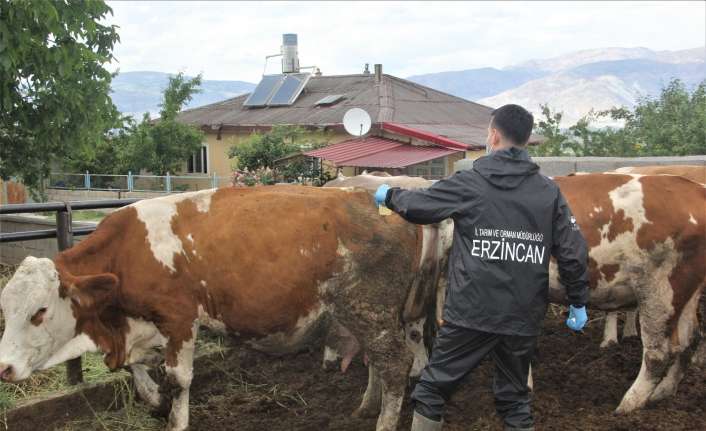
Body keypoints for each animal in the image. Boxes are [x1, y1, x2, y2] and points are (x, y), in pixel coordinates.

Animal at [0, 188, 434, 431]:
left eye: (39, 311)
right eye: (6, 310)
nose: (4, 368)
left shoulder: (178, 319)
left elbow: (179, 380)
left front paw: (174, 419)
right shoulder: (141, 326)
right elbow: (133, 368)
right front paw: (154, 400)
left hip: (370, 310)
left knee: (396, 364)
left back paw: (384, 422)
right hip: (371, 317)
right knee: (382, 362)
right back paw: (367, 406)